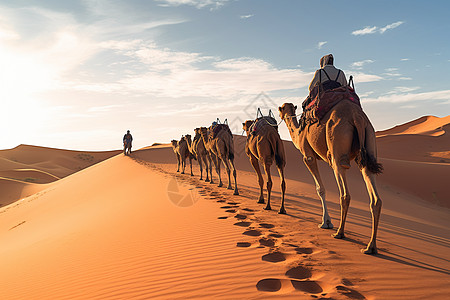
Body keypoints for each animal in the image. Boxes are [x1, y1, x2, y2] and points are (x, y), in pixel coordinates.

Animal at [280, 102, 382, 254]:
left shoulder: (308, 156)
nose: (279, 114)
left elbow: (320, 188)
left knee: (345, 194)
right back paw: (370, 246)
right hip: (369, 141)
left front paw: (326, 222)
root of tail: (357, 117)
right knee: (375, 197)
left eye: (281, 108)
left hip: (337, 149)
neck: (299, 133)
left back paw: (339, 233)